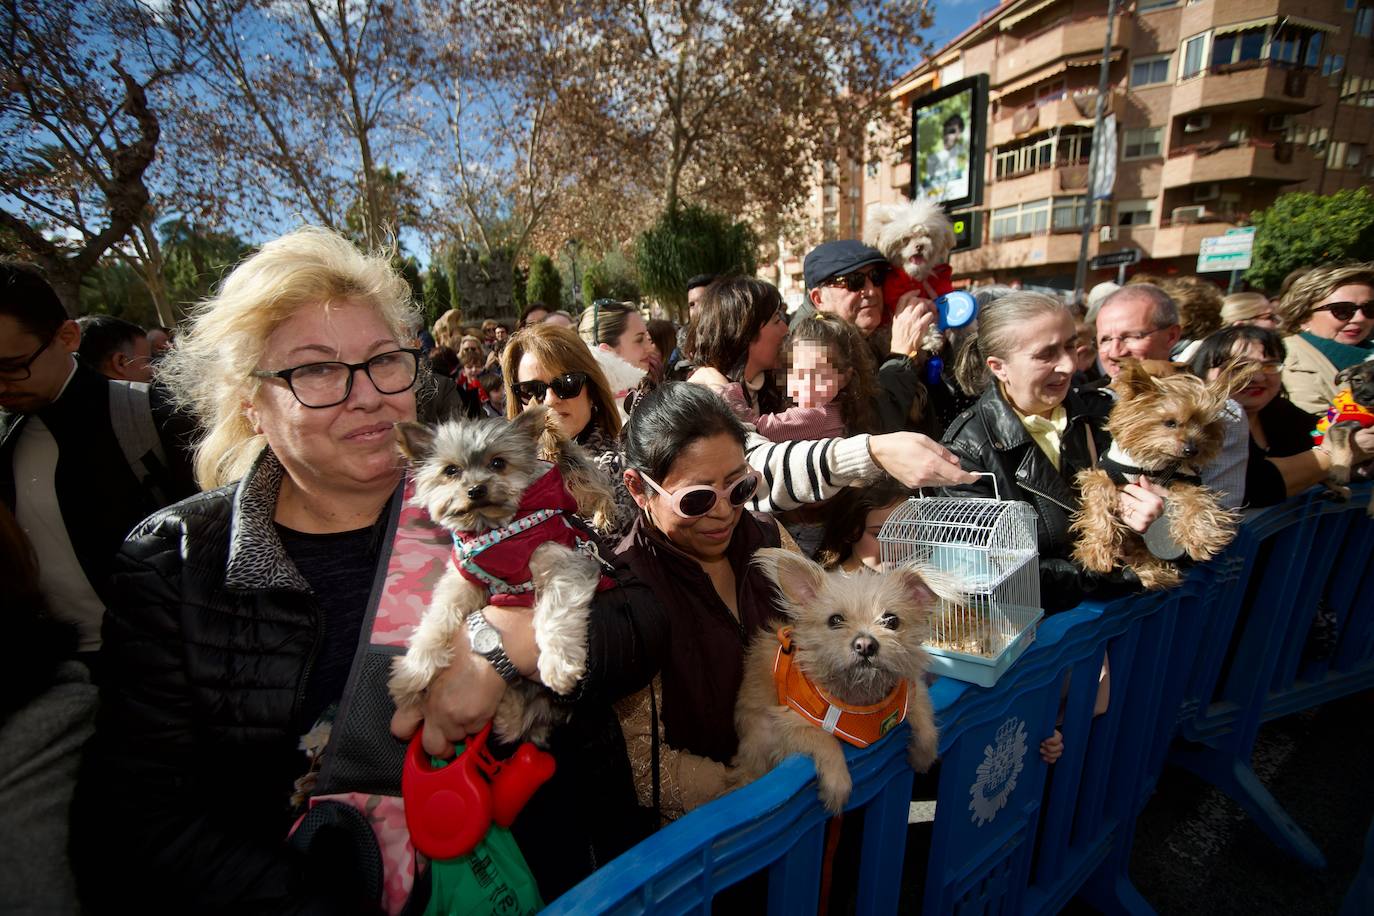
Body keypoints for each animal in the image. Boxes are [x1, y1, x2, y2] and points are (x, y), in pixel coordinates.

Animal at [730, 552, 945, 818]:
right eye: (835, 620)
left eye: (891, 620)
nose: (865, 645)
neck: (858, 695)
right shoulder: (787, 726)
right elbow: (826, 740)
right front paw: (837, 787)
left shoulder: (911, 692)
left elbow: (927, 727)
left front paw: (921, 758)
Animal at [1071, 357, 1247, 587]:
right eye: (1170, 422)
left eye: (1204, 426)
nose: (1192, 450)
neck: (1153, 463)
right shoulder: (1105, 473)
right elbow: (1098, 501)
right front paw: (1097, 551)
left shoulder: (1185, 478)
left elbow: (1196, 500)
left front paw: (1201, 538)